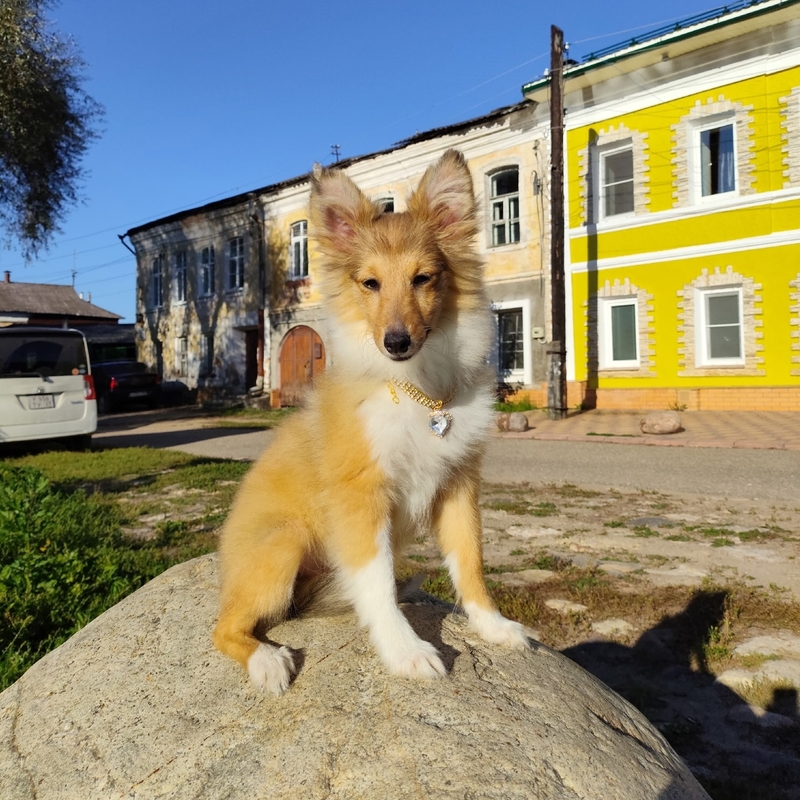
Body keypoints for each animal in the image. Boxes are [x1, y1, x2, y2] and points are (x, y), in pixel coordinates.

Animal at [213, 149, 530, 694]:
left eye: (423, 278)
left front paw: (493, 627)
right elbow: (376, 582)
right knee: (224, 625)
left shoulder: (458, 485)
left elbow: (470, 563)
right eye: (370, 283)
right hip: (283, 542)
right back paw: (267, 661)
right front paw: (405, 652)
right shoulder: (362, 497)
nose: (396, 342)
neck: (418, 393)